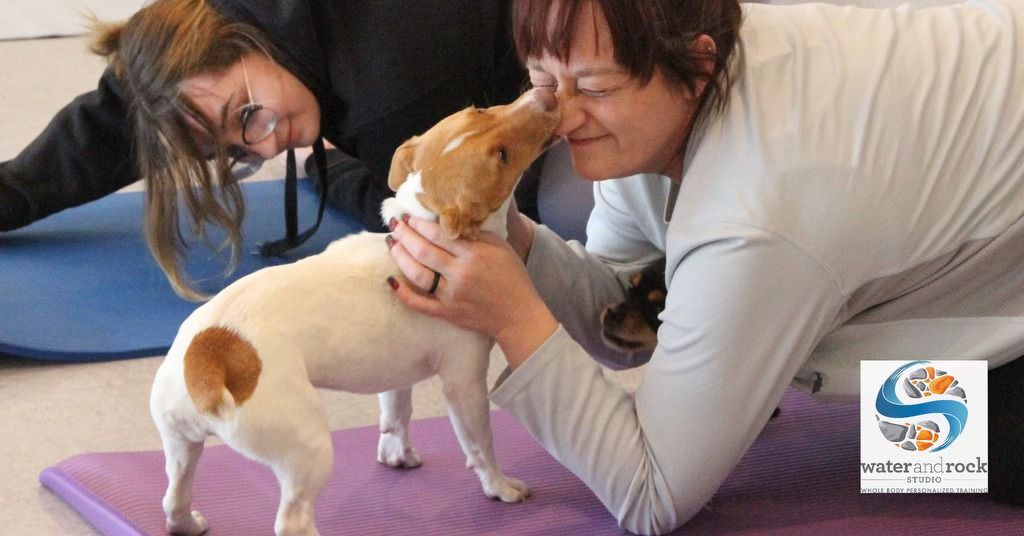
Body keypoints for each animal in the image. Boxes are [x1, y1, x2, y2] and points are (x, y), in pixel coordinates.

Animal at [151, 89, 561, 536]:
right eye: (502, 156)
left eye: (480, 109)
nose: (545, 94)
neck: (426, 223)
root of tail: (207, 356)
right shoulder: (464, 383)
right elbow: (481, 446)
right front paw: (500, 487)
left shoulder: (397, 376)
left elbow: (397, 415)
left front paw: (397, 455)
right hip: (308, 447)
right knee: (292, 519)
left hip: (181, 444)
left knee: (173, 497)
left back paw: (186, 522)